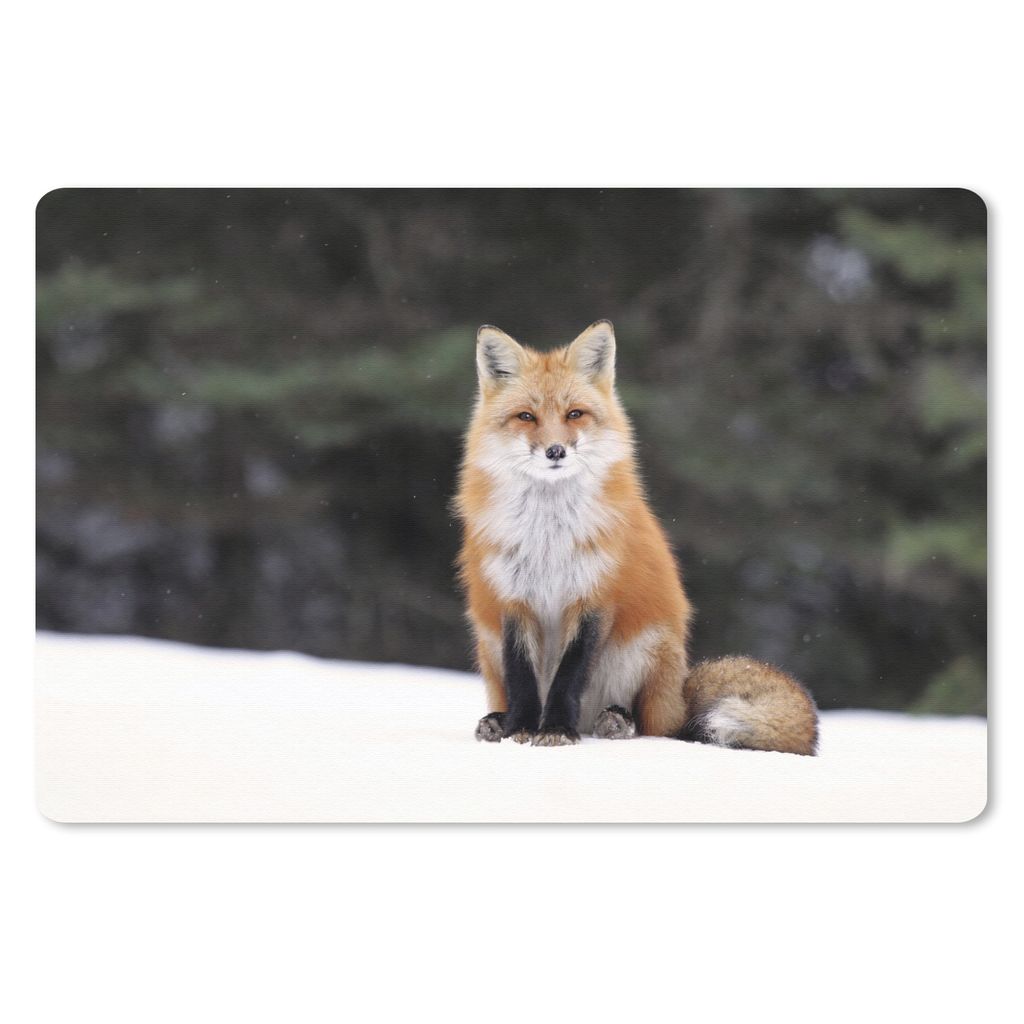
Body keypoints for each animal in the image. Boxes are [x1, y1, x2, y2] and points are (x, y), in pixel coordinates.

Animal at [453, 319, 818, 754]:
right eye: (526, 416)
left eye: (574, 414)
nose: (556, 451)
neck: (549, 537)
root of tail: (679, 695)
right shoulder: (512, 598)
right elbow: (522, 677)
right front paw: (521, 730)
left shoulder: (594, 596)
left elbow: (569, 676)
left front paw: (556, 729)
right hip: (487, 644)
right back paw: (496, 721)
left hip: (644, 649)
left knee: (653, 725)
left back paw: (615, 722)